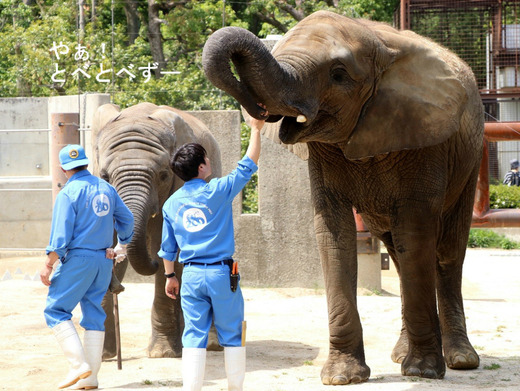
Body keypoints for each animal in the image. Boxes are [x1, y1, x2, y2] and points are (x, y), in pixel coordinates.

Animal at [91, 102, 221, 360]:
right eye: (104, 176)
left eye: (163, 175)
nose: (119, 287)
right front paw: (101, 355)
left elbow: (169, 246)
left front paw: (164, 354)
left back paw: (209, 345)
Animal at [202, 10, 484, 388]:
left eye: (338, 75)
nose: (259, 113)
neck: (380, 44)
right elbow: (334, 234)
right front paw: (342, 376)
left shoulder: (425, 139)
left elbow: (415, 234)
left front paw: (423, 371)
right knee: (398, 254)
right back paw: (400, 354)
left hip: (470, 159)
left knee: (446, 253)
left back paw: (460, 359)